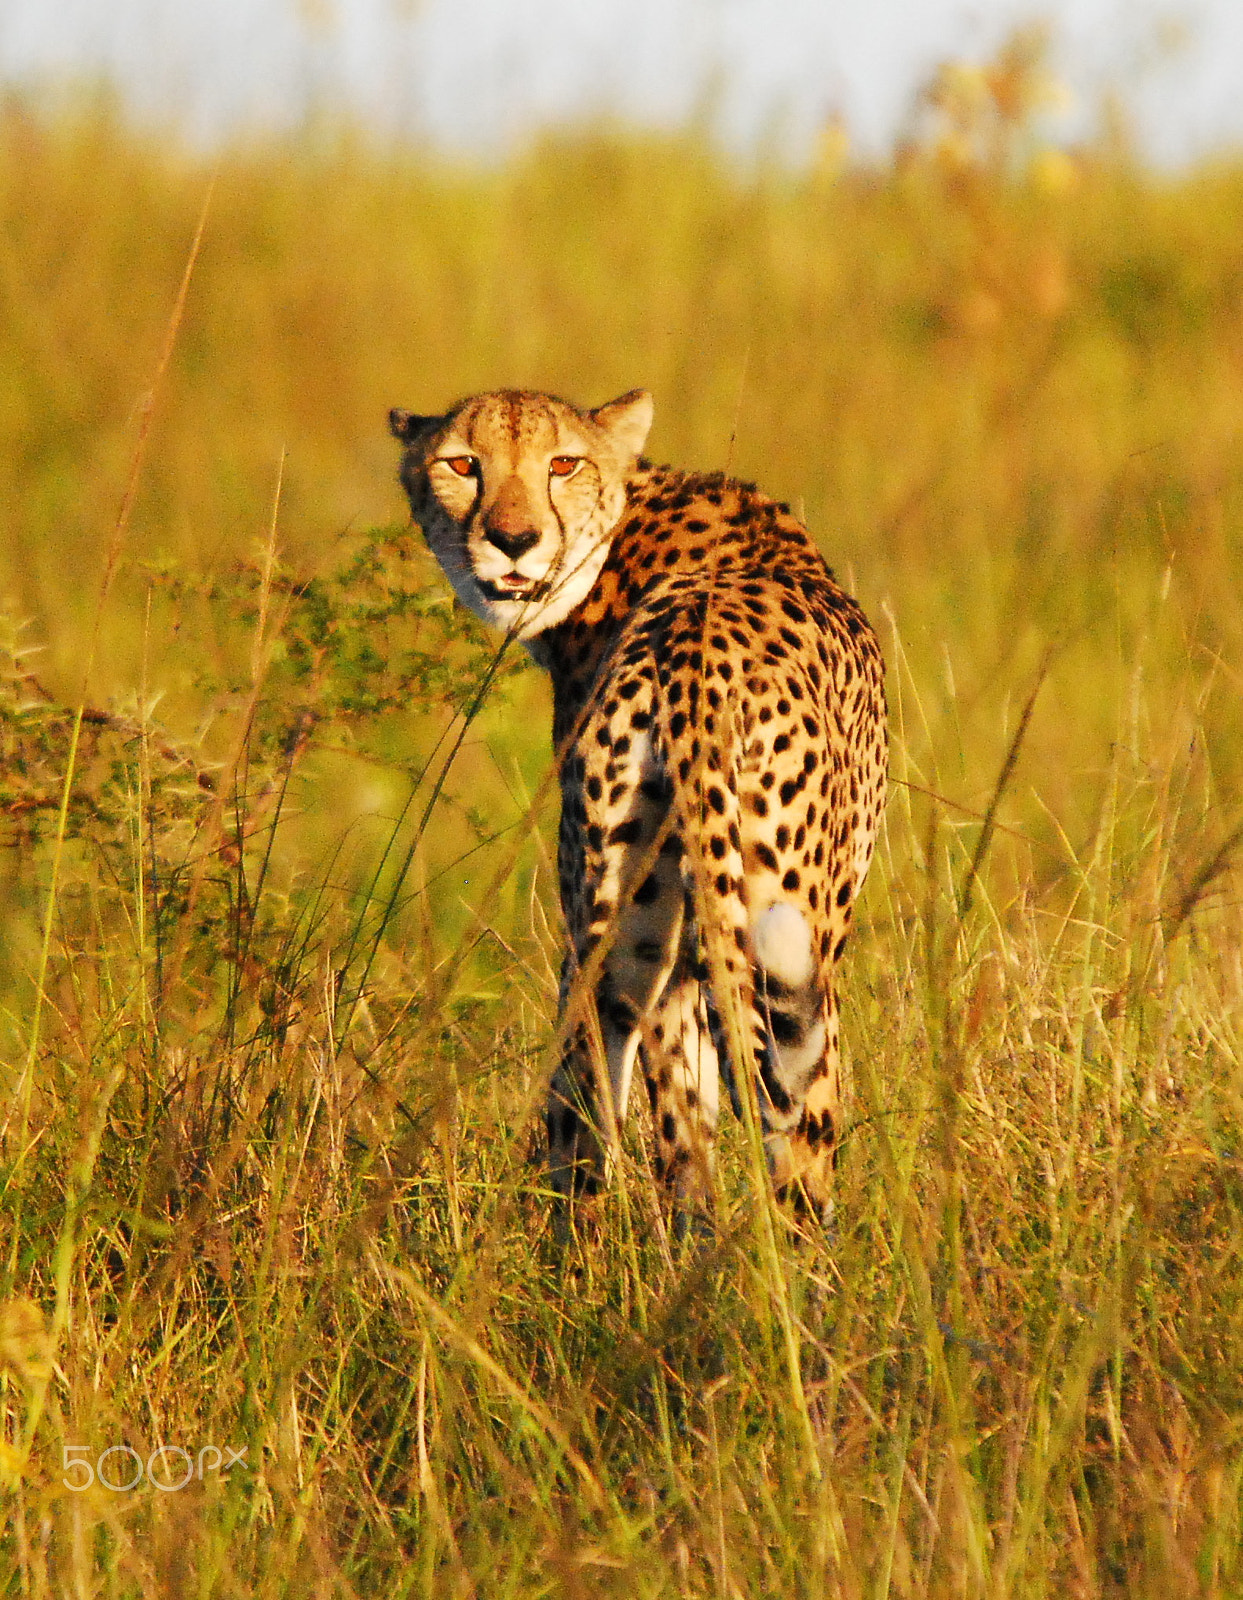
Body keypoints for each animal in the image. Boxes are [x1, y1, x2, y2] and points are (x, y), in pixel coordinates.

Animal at [389, 387, 887, 1220]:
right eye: (462, 464)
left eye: (562, 463)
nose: (513, 540)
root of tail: (695, 657)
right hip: (773, 926)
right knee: (791, 1137)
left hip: (624, 921)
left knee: (599, 1122)